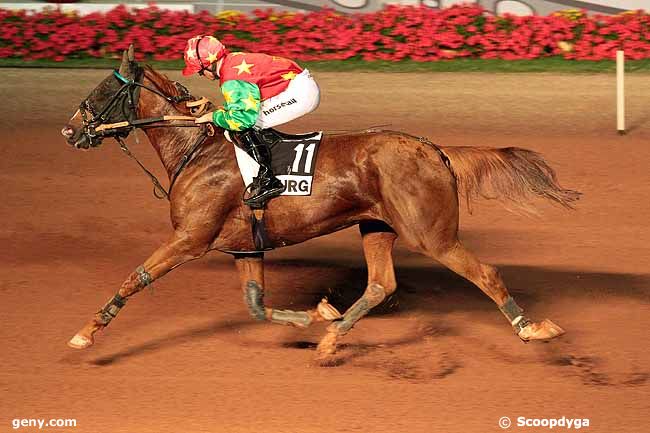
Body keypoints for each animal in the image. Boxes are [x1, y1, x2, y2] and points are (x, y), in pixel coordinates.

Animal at [60, 46, 576, 362]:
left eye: (101, 92)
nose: (70, 130)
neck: (197, 150)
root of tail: (434, 149)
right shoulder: (245, 246)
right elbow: (256, 306)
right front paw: (316, 315)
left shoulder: (191, 238)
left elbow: (135, 278)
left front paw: (86, 333)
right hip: (377, 226)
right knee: (381, 285)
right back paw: (331, 337)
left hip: (432, 234)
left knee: (485, 274)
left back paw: (533, 330)